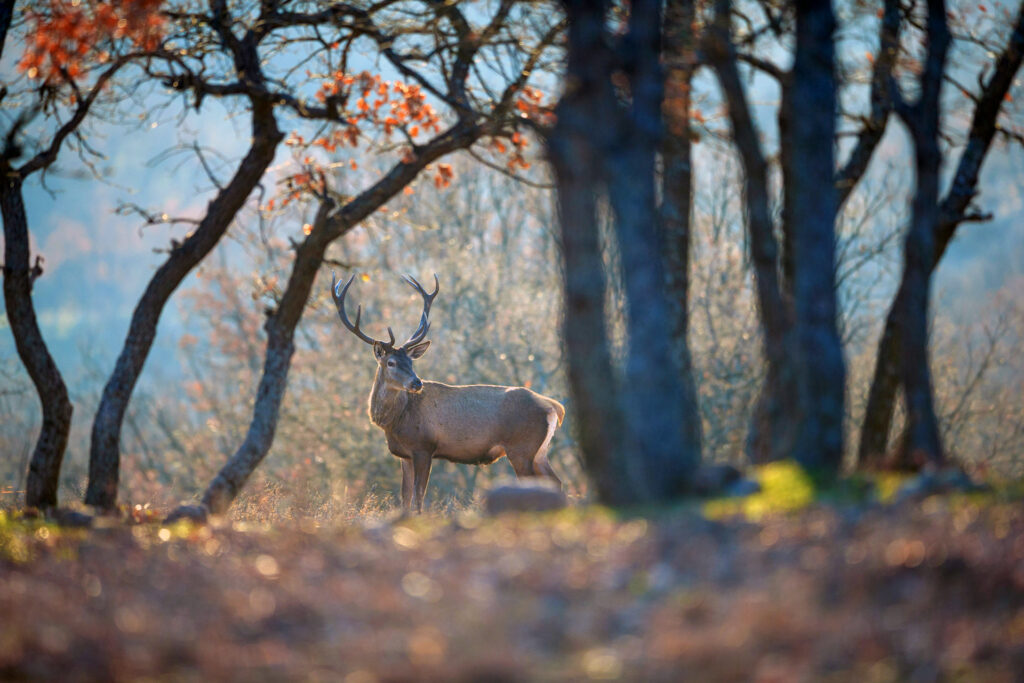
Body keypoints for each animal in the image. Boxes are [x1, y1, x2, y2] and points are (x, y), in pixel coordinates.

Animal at [329, 272, 565, 511]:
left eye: (410, 362)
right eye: (391, 362)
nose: (417, 383)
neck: (394, 421)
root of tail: (554, 407)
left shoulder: (424, 446)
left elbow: (418, 497)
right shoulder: (404, 455)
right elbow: (405, 498)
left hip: (521, 448)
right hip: (539, 452)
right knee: (556, 481)